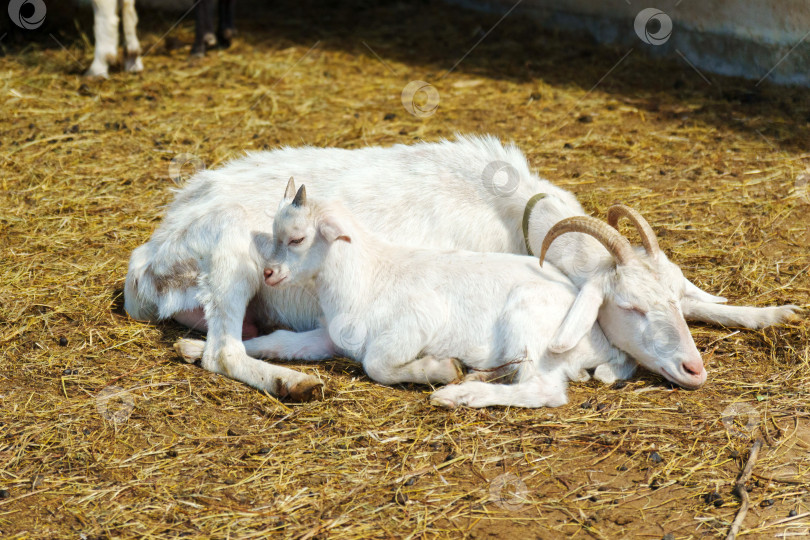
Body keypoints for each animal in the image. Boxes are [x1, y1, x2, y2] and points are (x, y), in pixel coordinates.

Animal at [124, 136, 796, 396]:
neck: (508, 208)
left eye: (668, 301)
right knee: (224, 352)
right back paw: (291, 383)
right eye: (627, 308)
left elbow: (711, 304)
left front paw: (772, 312)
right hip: (233, 256)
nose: (693, 370)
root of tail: (145, 264)